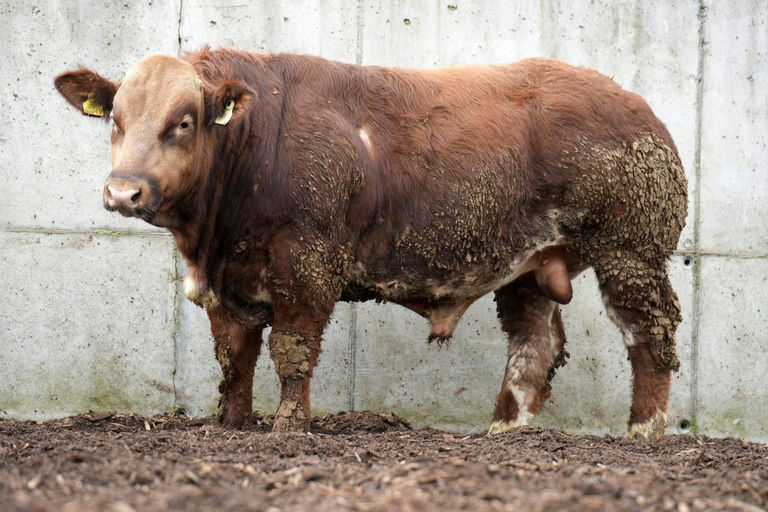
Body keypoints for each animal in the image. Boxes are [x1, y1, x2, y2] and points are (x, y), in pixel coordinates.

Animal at [54, 47, 687, 440]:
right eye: (115, 118)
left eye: (183, 121)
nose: (123, 191)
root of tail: (637, 107)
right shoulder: (227, 282)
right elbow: (234, 355)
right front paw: (230, 424)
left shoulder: (306, 265)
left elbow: (291, 348)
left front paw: (289, 426)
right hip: (529, 266)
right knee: (535, 344)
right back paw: (503, 431)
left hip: (632, 252)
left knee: (649, 336)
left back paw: (643, 432)